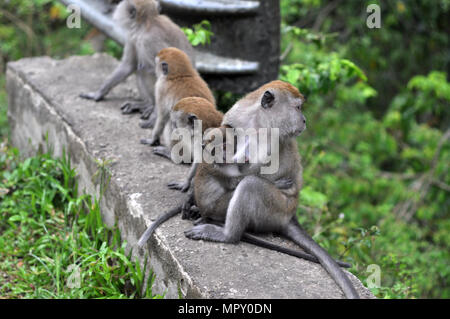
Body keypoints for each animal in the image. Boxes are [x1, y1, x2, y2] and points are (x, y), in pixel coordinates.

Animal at [181, 80, 360, 300]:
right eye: (298, 107)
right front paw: (190, 196)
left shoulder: (270, 140)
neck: (259, 121)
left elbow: (247, 172)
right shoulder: (236, 115)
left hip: (275, 209)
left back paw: (227, 234)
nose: (304, 120)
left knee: (250, 185)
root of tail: (290, 215)